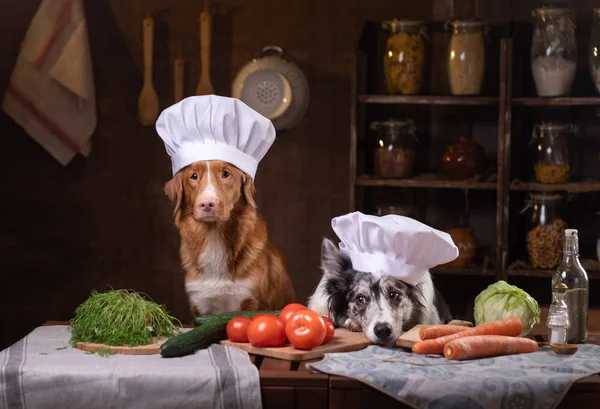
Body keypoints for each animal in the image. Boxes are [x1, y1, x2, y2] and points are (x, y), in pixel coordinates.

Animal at [164, 159, 296, 316]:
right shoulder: (200, 302)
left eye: (225, 174)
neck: (214, 235)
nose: (207, 204)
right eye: (194, 176)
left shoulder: (251, 301)